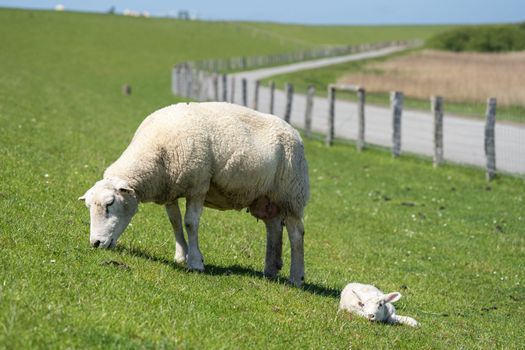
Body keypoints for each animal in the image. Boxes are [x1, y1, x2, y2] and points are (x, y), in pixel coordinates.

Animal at [79, 102, 310, 288]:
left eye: (110, 203)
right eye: (89, 206)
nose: (95, 243)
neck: (156, 155)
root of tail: (295, 132)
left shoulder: (198, 187)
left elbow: (190, 223)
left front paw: (196, 262)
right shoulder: (170, 189)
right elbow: (174, 222)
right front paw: (181, 256)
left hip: (292, 193)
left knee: (296, 233)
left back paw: (296, 277)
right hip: (266, 196)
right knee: (273, 226)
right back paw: (270, 269)